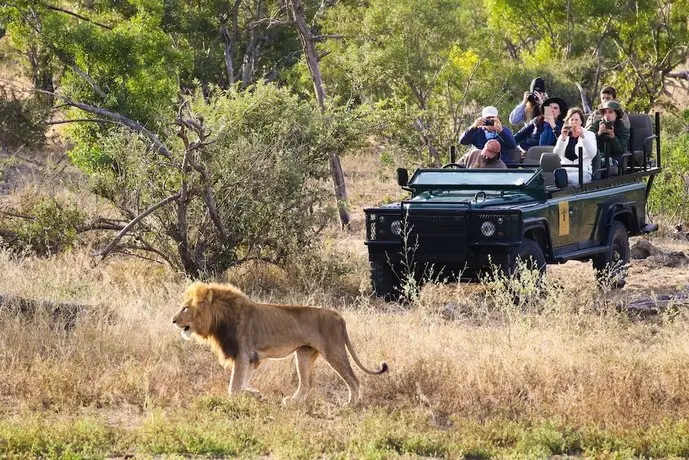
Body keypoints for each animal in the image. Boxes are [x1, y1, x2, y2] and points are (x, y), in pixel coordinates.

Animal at [171, 282, 388, 404]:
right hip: (303, 354)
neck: (219, 318)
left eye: (185, 308)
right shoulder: (252, 359)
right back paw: (292, 402)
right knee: (306, 384)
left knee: (353, 379)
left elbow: (234, 388)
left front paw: (241, 398)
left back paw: (350, 405)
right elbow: (242, 385)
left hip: (333, 351)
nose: (172, 320)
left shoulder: (242, 354)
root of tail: (339, 317)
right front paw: (256, 395)